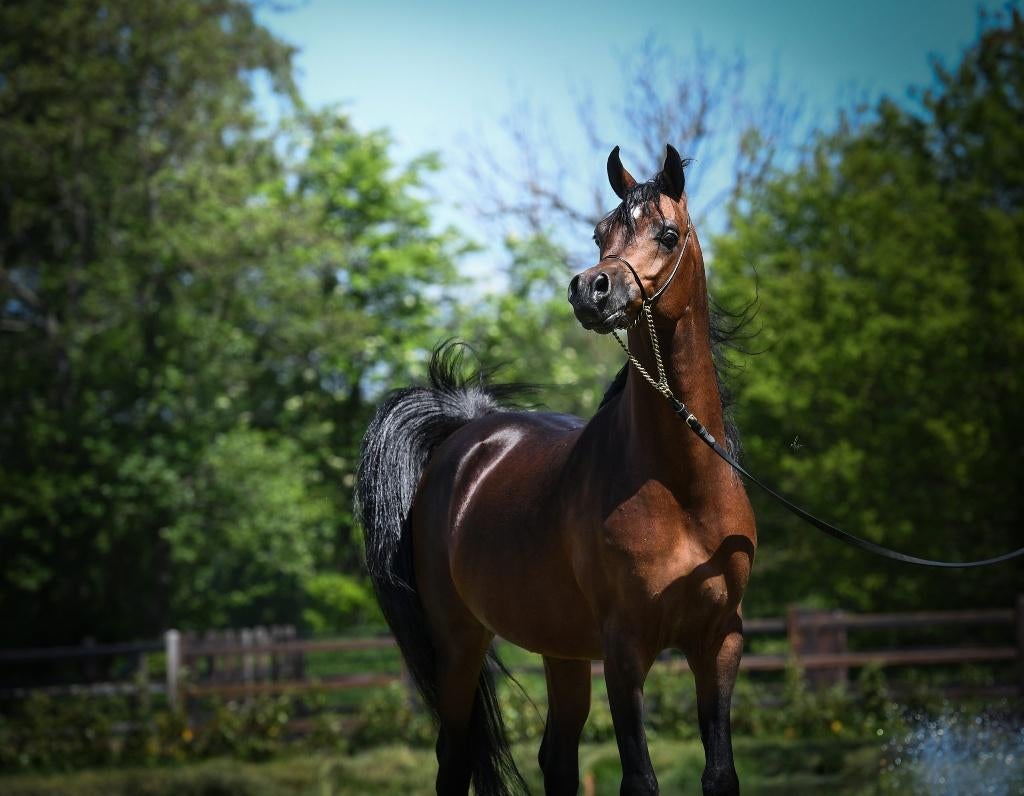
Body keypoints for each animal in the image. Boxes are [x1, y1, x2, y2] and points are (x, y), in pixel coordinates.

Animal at [357, 144, 757, 796]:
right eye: (601, 234)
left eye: (667, 234)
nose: (590, 290)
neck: (681, 488)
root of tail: (467, 434)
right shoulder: (624, 650)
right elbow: (638, 779)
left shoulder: (719, 641)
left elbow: (719, 772)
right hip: (459, 642)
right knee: (454, 757)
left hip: (561, 648)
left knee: (557, 758)